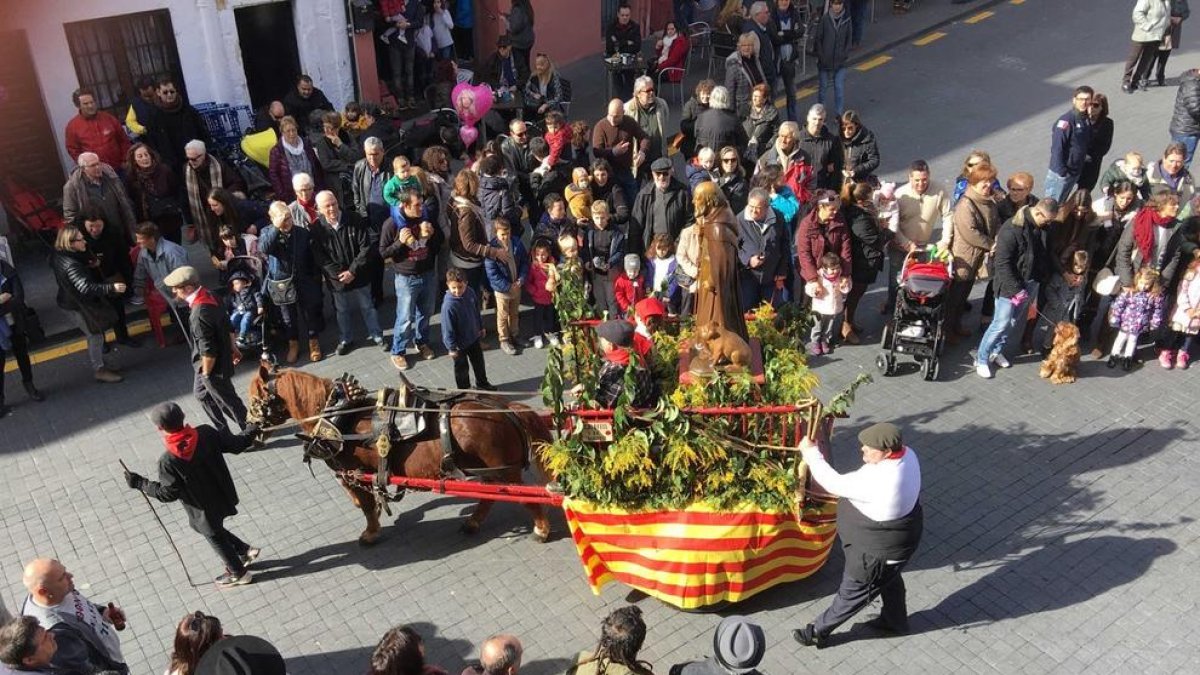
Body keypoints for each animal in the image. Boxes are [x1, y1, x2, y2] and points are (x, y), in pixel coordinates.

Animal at [249, 360, 556, 542]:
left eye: (256, 398)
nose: (250, 429)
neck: (337, 415)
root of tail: (505, 410)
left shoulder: (352, 473)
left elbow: (365, 505)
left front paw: (370, 532)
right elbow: (365, 502)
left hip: (506, 472)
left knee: (526, 497)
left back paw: (541, 528)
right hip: (490, 470)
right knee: (489, 497)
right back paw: (473, 522)